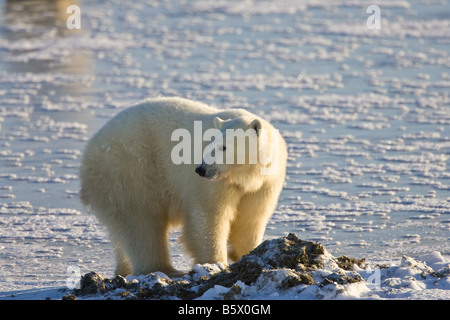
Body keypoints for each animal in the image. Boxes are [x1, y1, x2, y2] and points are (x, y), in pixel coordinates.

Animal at [79, 96, 286, 276]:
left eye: (224, 147)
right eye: (210, 144)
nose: (201, 169)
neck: (244, 175)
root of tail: (88, 154)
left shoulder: (265, 183)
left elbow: (251, 218)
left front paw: (248, 253)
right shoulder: (212, 185)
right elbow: (209, 216)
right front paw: (216, 263)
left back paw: (124, 269)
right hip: (131, 172)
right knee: (142, 223)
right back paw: (163, 269)